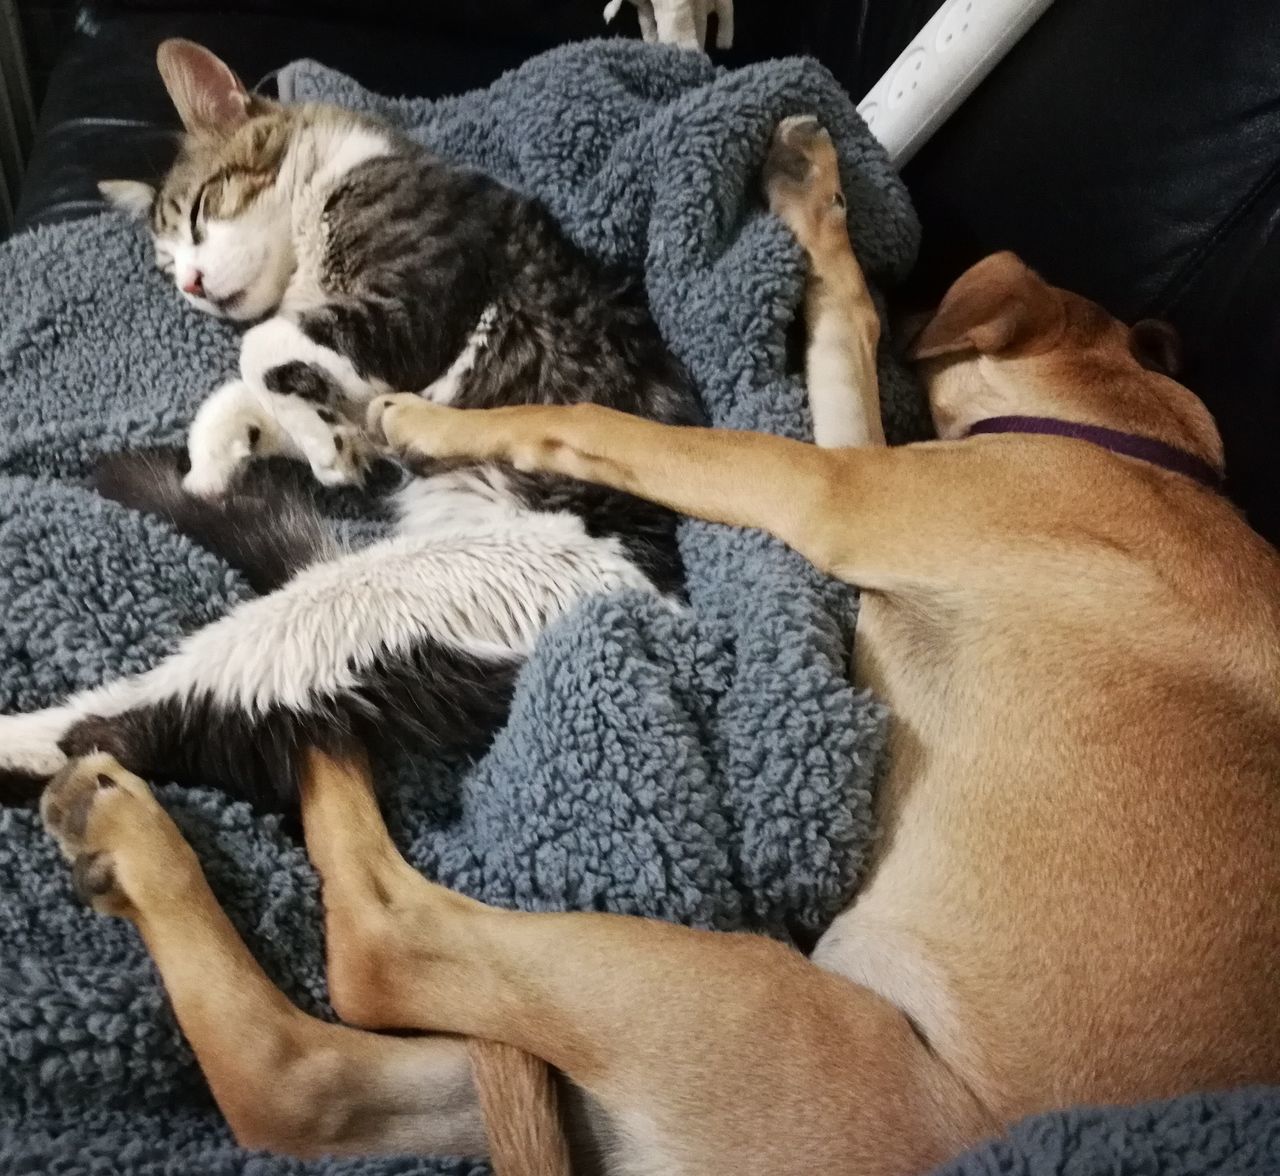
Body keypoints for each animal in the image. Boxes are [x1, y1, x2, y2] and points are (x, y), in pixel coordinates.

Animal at [0, 39, 696, 808]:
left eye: (201, 214)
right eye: (166, 261)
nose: (190, 285)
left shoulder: (408, 315)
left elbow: (257, 348)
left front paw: (315, 446)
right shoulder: (368, 383)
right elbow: (256, 386)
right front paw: (230, 460)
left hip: (398, 605)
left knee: (145, 722)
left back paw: (27, 739)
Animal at [37, 112, 1280, 1176]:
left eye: (201, 215)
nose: (191, 282)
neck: (1125, 447)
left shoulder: (805, 484)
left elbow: (533, 410)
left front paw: (387, 419)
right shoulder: (841, 473)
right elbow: (840, 334)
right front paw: (810, 198)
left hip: (701, 978)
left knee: (360, 919)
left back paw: (91, 769)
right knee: (299, 1072)